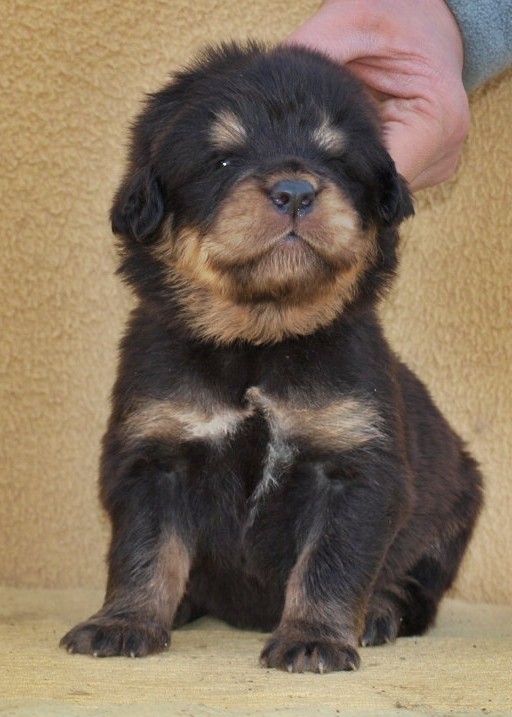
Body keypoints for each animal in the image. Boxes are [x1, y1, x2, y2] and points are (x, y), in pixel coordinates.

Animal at [60, 43, 483, 673]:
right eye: (223, 161)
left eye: (337, 161)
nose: (296, 192)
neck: (258, 343)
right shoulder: (153, 459)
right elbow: (143, 552)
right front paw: (123, 622)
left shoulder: (355, 468)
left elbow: (330, 563)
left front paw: (314, 638)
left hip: (456, 502)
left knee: (416, 589)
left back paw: (379, 611)